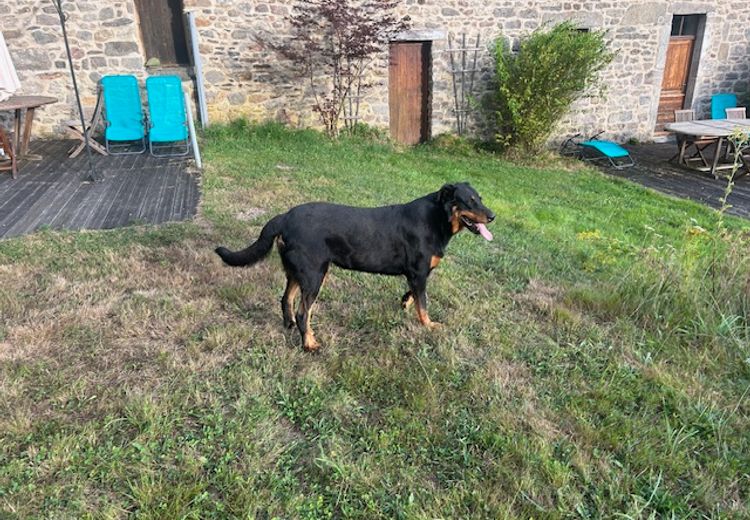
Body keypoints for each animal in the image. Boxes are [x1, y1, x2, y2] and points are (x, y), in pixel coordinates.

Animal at [214, 184, 496, 354]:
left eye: (481, 199)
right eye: (469, 201)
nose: (493, 216)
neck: (438, 218)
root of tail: (285, 216)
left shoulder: (416, 275)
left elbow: (414, 296)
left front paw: (405, 304)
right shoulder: (418, 273)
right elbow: (424, 304)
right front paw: (429, 326)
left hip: (297, 271)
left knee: (286, 300)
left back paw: (289, 326)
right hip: (315, 274)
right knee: (304, 312)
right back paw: (309, 344)